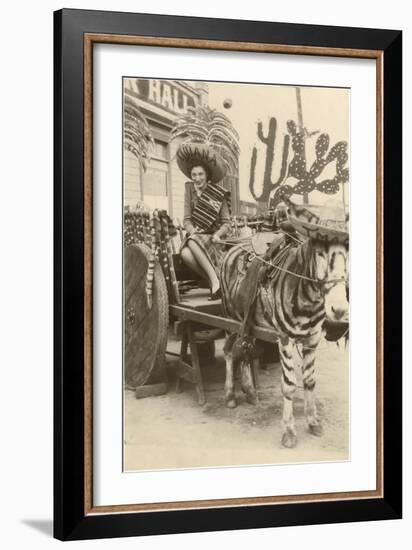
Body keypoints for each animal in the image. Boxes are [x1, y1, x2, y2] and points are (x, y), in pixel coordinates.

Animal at [220, 211, 350, 448]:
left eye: (348, 255)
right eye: (319, 254)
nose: (339, 310)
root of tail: (233, 246)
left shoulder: (312, 339)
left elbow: (309, 381)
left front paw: (313, 421)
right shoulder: (285, 339)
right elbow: (289, 386)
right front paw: (289, 431)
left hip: (247, 323)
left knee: (244, 350)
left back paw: (250, 391)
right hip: (229, 319)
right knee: (229, 351)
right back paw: (230, 395)